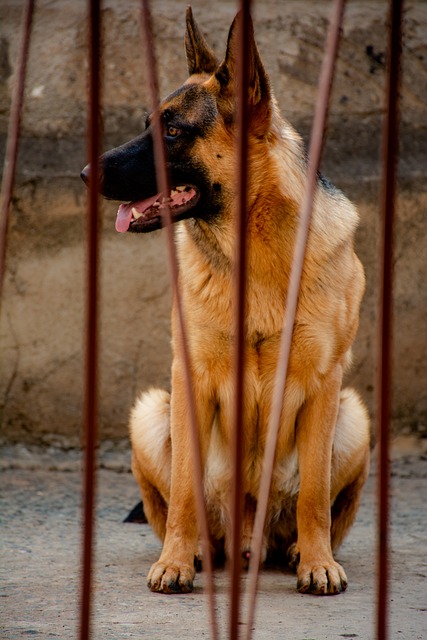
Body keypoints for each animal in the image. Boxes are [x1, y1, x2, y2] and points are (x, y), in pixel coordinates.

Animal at [82, 6, 370, 596]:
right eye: (148, 124)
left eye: (172, 131)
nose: (82, 174)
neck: (252, 254)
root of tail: (245, 538)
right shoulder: (189, 378)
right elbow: (184, 493)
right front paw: (173, 561)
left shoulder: (326, 385)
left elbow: (314, 496)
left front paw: (318, 563)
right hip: (152, 412)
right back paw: (198, 551)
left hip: (355, 418)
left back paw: (297, 551)